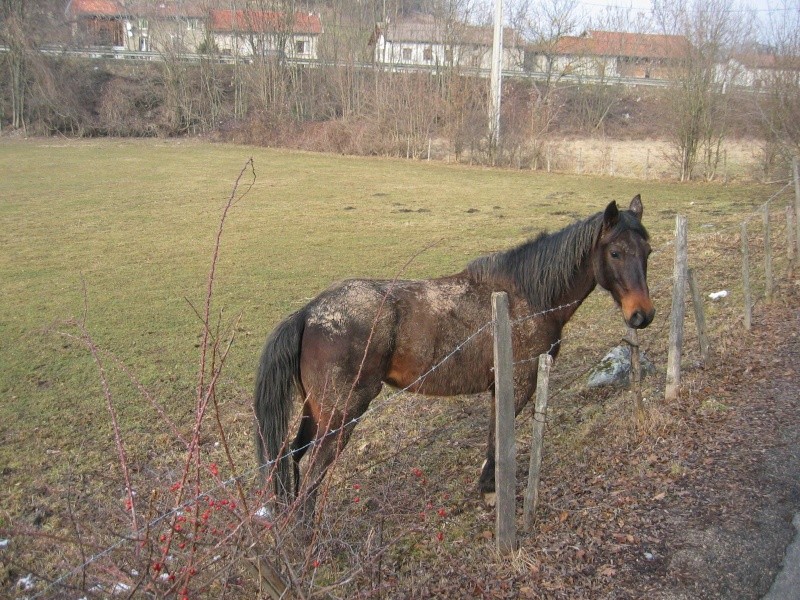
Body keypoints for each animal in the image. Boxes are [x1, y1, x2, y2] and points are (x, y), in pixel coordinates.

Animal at [253, 196, 652, 516]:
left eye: (648, 252)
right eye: (616, 252)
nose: (642, 315)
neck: (526, 297)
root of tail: (309, 312)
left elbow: (493, 434)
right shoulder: (519, 383)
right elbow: (498, 438)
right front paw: (493, 491)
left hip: (316, 410)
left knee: (292, 458)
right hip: (340, 414)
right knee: (311, 477)